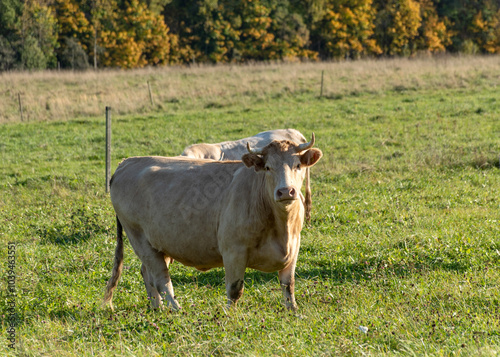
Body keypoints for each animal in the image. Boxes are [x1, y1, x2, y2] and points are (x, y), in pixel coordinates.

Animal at [103, 132, 322, 310]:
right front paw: (229, 315)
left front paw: (293, 311)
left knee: (147, 273)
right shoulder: (233, 250)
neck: (280, 226)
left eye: (298, 166)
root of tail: (127, 162)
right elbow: (235, 290)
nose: (285, 191)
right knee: (160, 278)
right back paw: (176, 310)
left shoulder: (294, 247)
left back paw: (157, 308)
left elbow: (288, 285)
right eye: (268, 167)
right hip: (138, 237)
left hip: (160, 243)